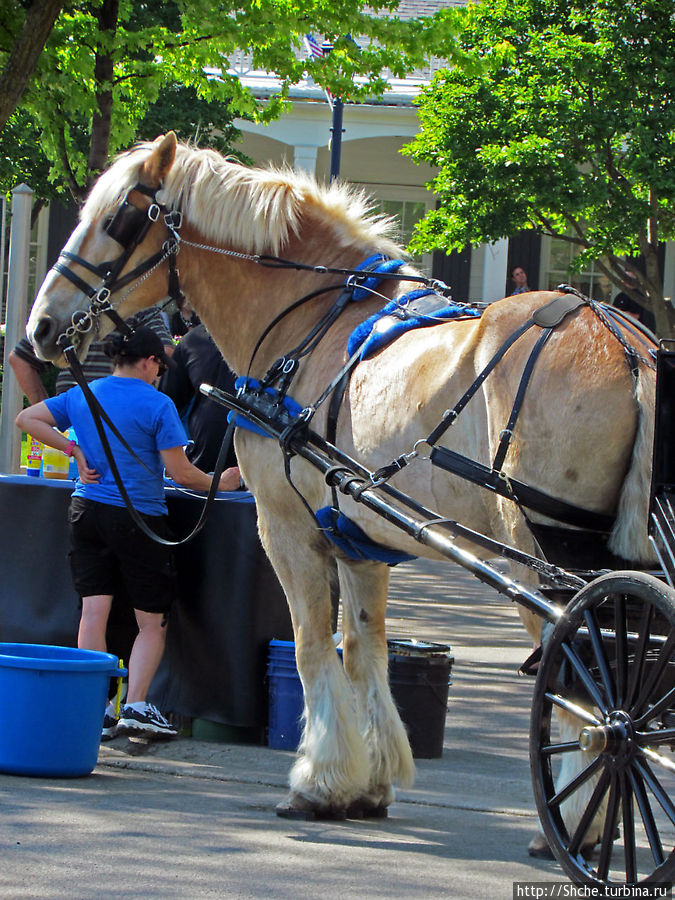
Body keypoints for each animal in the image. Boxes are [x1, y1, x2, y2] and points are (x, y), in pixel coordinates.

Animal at [26, 135, 656, 836]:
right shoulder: (357, 539)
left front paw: (319, 781)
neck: (309, 324)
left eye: (117, 220)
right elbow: (361, 647)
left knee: (583, 680)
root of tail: (629, 348)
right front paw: (371, 780)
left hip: (539, 555)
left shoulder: (285, 527)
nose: (42, 326)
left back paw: (582, 811)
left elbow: (309, 647)